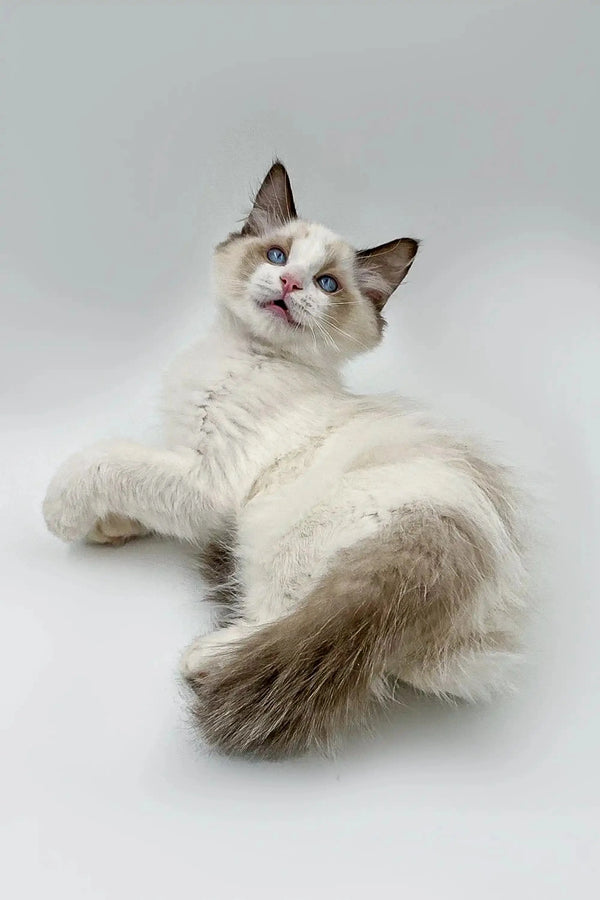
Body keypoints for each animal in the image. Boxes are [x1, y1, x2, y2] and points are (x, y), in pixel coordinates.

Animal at [44, 163, 528, 760]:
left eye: (327, 284)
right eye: (277, 256)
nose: (291, 284)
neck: (247, 355)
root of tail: (465, 554)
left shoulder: (204, 482)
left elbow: (103, 461)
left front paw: (63, 512)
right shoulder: (180, 459)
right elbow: (133, 483)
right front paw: (108, 528)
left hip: (279, 530)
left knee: (282, 620)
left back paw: (209, 657)